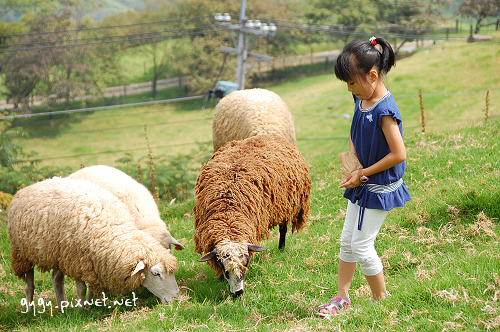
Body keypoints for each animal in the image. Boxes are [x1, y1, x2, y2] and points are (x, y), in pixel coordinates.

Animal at [8, 178, 180, 310]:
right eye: (156, 273)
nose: (175, 297)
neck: (112, 229)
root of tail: (27, 188)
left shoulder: (94, 263)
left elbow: (91, 287)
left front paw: (89, 305)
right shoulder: (77, 260)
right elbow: (81, 289)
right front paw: (81, 310)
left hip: (57, 253)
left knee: (56, 279)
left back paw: (62, 306)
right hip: (22, 252)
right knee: (29, 285)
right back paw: (30, 309)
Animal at [193, 134, 310, 296]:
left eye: (245, 267)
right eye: (225, 271)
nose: (238, 293)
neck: (228, 212)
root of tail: (266, 135)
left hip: (286, 205)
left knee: (283, 229)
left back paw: (281, 248)